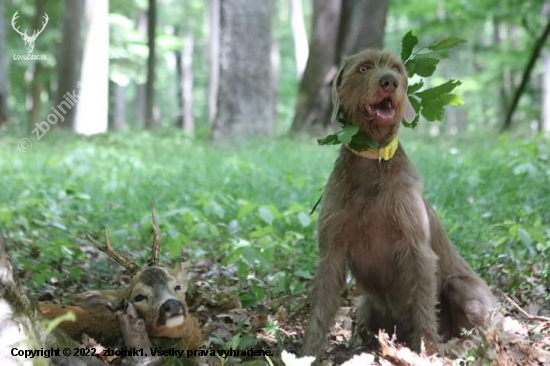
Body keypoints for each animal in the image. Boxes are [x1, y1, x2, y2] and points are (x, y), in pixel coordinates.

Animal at [302, 50, 500, 356]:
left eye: (396, 69)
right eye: (363, 68)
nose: (389, 82)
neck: (374, 162)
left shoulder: (417, 249)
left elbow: (423, 306)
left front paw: (428, 353)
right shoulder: (331, 250)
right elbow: (321, 310)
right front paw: (307, 354)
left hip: (462, 287)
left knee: (481, 333)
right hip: (367, 307)